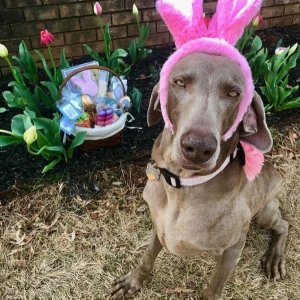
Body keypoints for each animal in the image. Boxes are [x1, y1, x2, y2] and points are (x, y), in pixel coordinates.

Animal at [110, 52, 288, 298]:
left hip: (263, 212)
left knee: (283, 225)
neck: (182, 184)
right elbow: (148, 255)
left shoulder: (233, 247)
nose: (198, 147)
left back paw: (274, 258)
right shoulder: (159, 223)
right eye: (179, 82)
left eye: (234, 93)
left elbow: (214, 288)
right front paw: (134, 280)